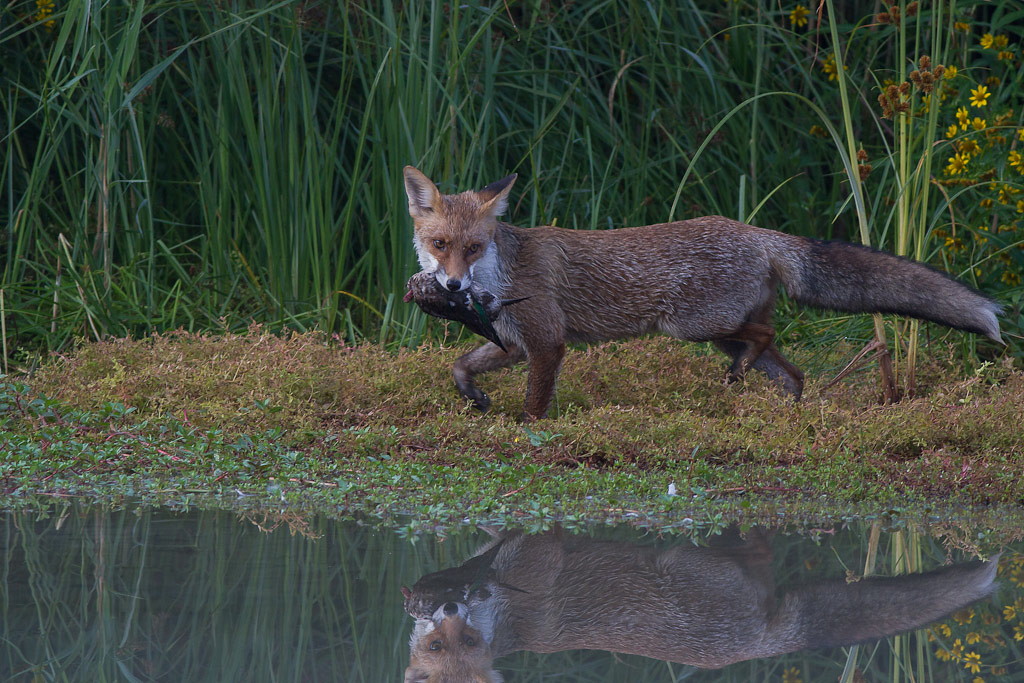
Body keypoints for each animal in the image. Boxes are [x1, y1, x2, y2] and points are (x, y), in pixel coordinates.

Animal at [403, 166, 1003, 421]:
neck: (503, 271)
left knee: (765, 334)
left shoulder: (547, 342)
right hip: (716, 335)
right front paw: (474, 398)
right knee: (792, 371)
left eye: (474, 247)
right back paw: (782, 415)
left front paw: (525, 430)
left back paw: (743, 383)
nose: (451, 286)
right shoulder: (512, 339)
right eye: (439, 244)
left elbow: (534, 405)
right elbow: (459, 366)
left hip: (694, 326)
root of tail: (757, 232)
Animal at [403, 528, 995, 679]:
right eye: (437, 646)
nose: (448, 611)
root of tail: (758, 647)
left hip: (687, 561)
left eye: (469, 641)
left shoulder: (537, 557)